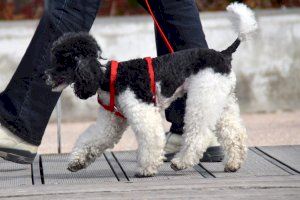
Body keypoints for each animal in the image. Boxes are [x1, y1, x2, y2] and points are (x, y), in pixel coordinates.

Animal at [45, 3, 258, 177]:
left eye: (61, 61)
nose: (45, 76)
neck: (108, 77)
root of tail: (224, 54)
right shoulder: (111, 120)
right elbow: (94, 138)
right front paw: (77, 161)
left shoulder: (142, 111)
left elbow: (151, 138)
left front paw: (146, 169)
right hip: (221, 100)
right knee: (235, 134)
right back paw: (233, 163)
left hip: (202, 98)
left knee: (200, 134)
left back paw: (181, 162)